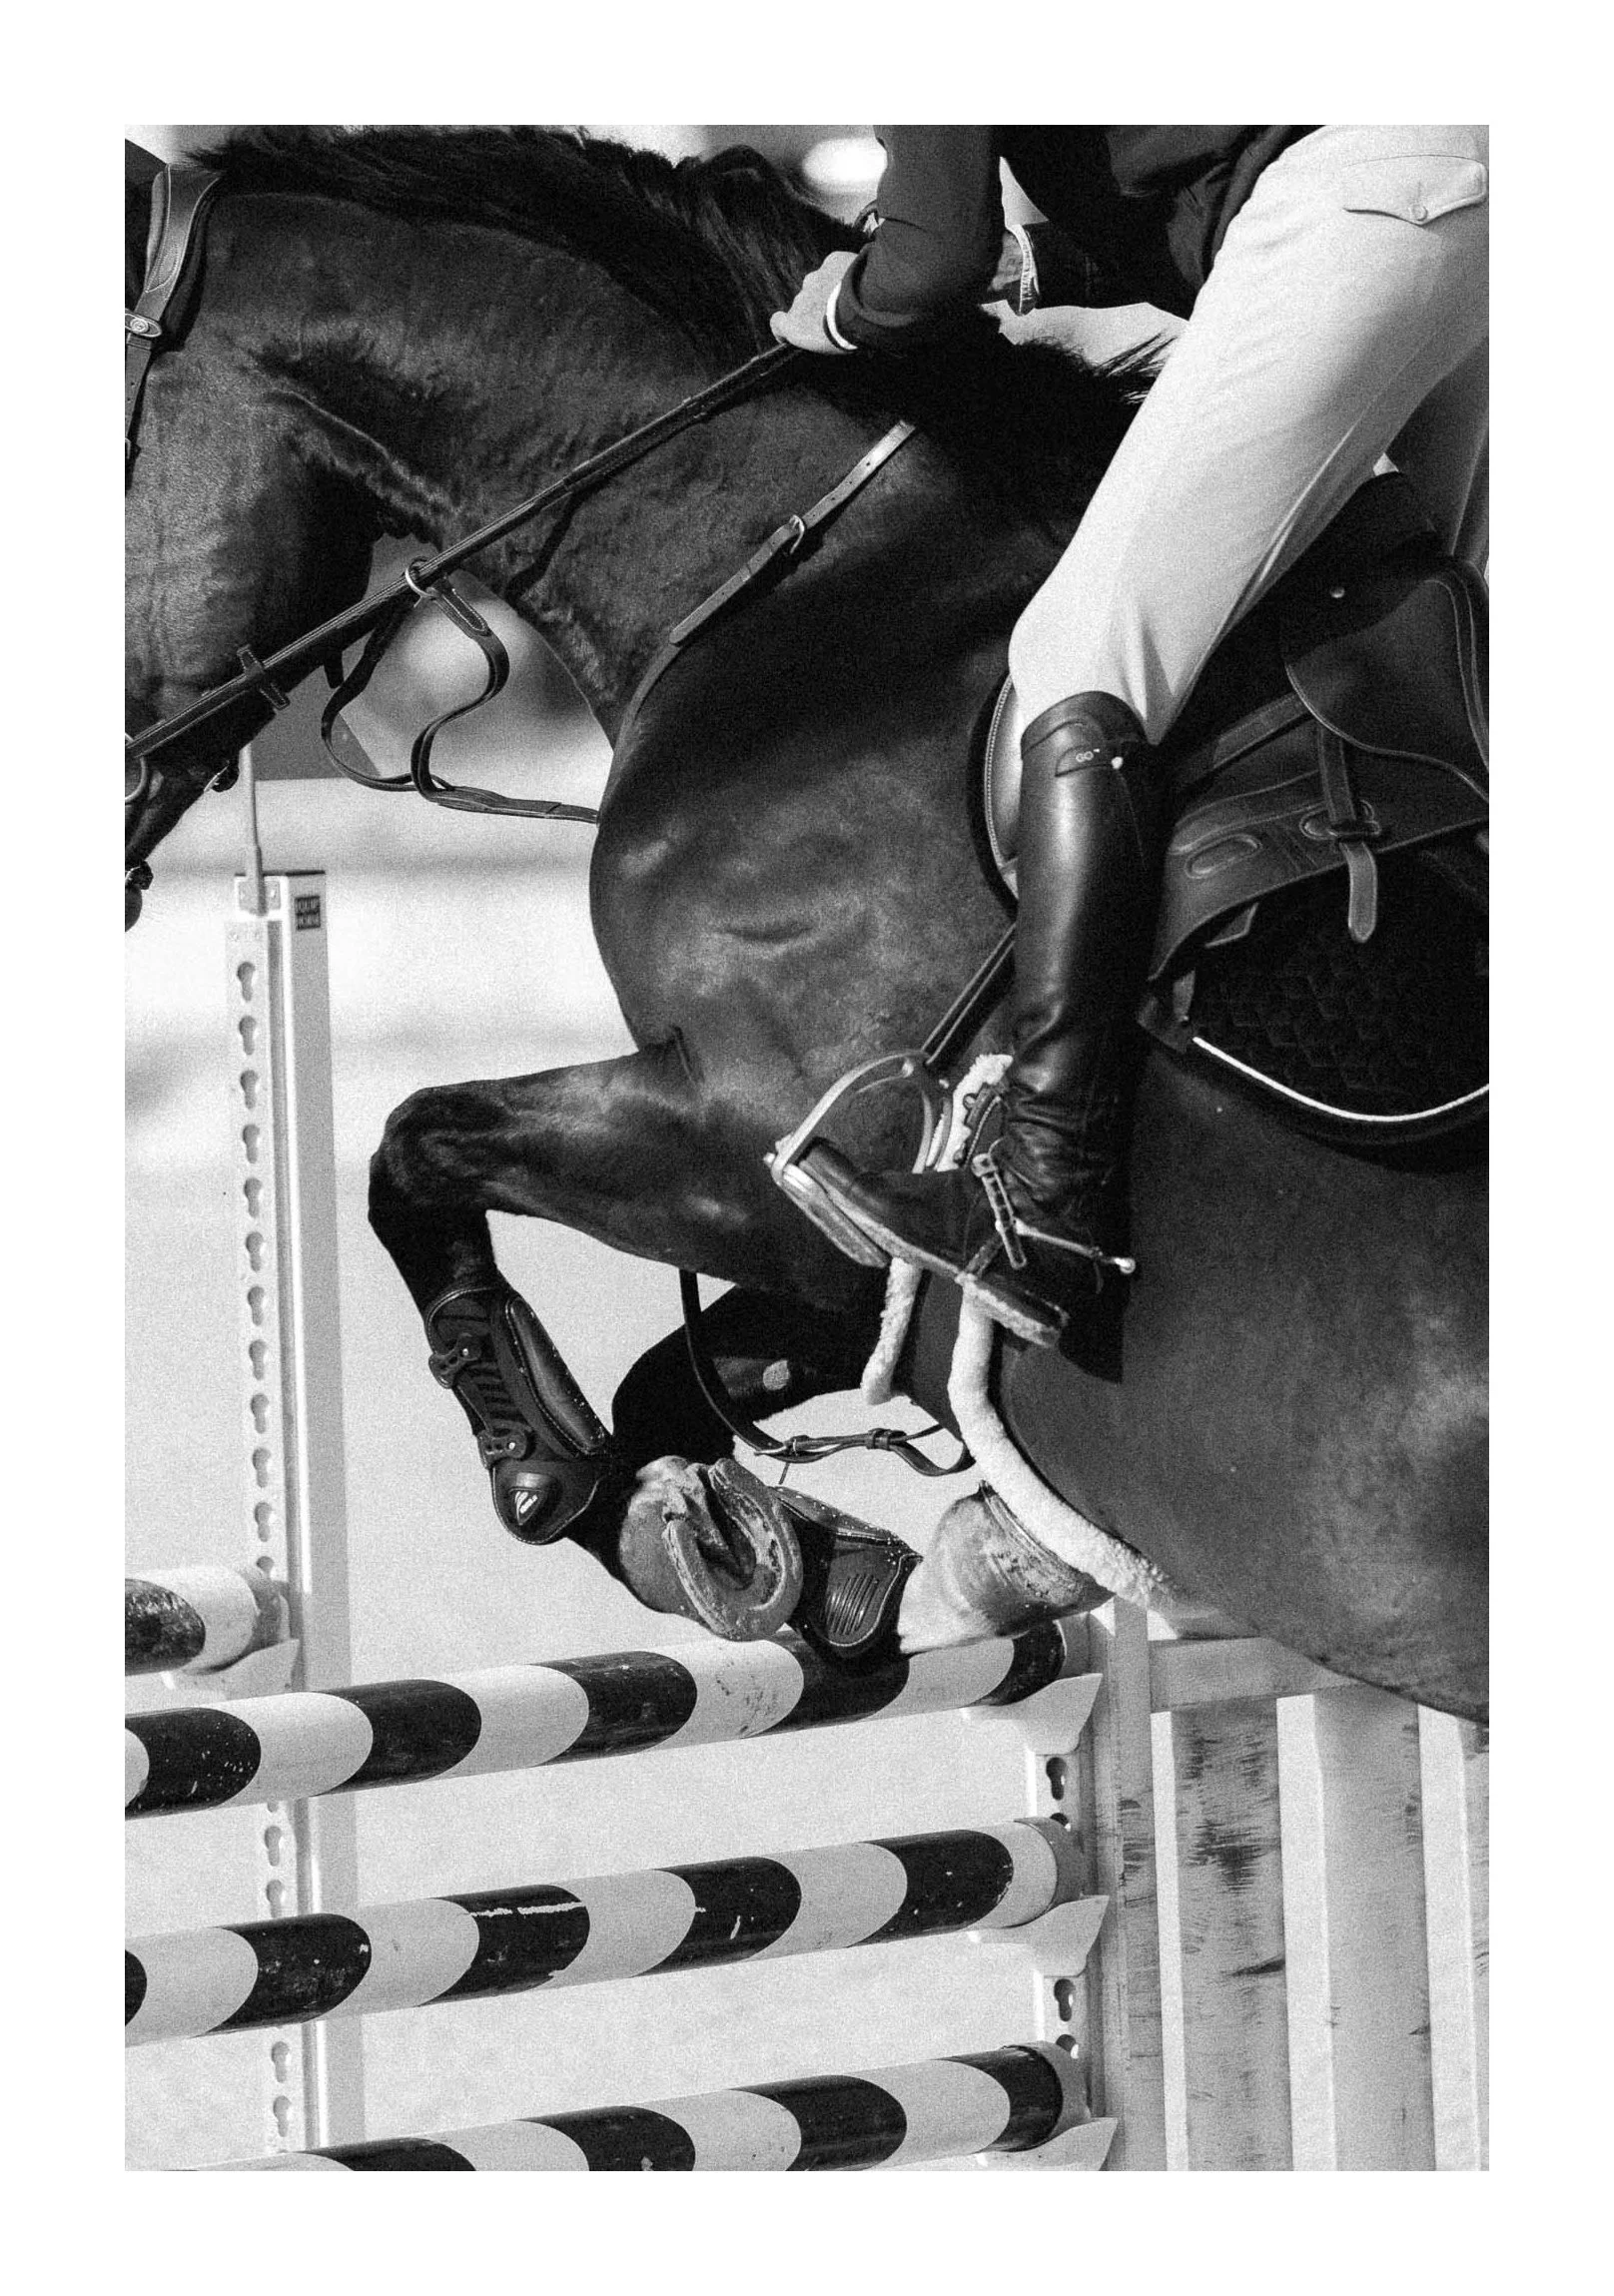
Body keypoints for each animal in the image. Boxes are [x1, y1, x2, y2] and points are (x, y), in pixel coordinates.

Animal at [125, 128, 1487, 1722]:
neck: (815, 586)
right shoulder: (835, 1263)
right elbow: (684, 1373)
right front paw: (773, 1547)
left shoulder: (763, 1144)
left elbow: (414, 1145)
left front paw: (543, 1458)